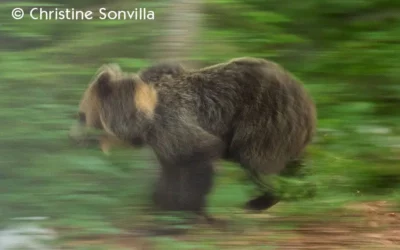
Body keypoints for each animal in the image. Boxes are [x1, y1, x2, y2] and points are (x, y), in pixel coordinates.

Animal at [69, 57, 318, 220]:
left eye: (81, 116)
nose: (73, 138)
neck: (142, 118)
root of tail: (307, 97)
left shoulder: (173, 122)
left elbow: (198, 157)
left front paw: (187, 208)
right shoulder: (161, 140)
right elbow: (171, 169)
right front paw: (162, 202)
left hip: (264, 119)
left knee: (256, 159)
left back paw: (258, 202)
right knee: (293, 163)